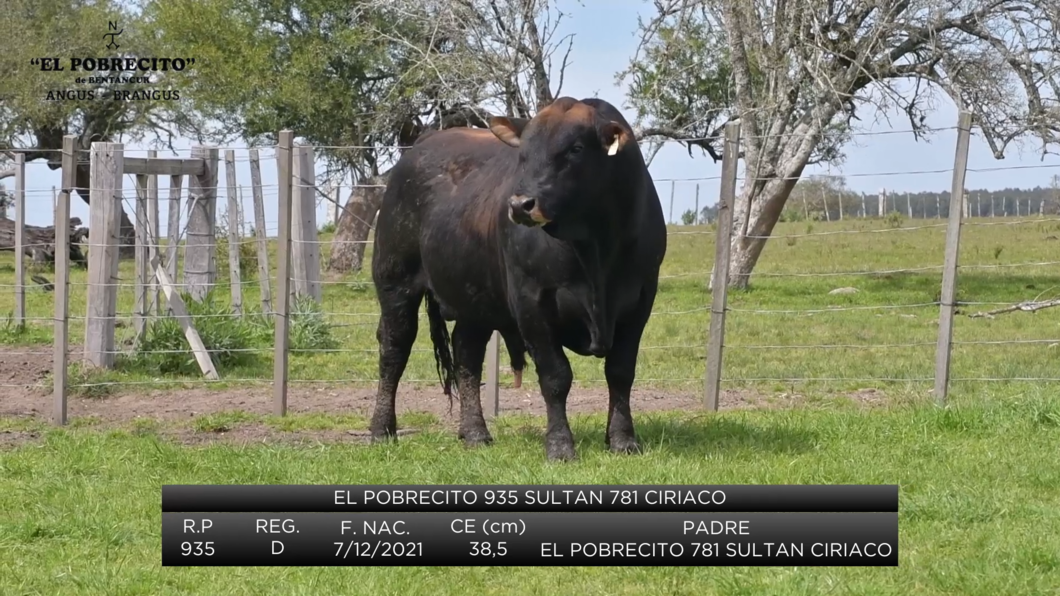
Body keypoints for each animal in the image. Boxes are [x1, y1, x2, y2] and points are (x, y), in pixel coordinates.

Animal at [368, 97, 665, 460]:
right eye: (523, 152)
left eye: (576, 148)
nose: (521, 204)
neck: (595, 248)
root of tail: (422, 144)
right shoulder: (531, 301)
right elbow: (556, 377)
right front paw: (560, 446)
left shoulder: (639, 301)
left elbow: (620, 372)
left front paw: (623, 440)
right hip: (395, 282)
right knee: (394, 350)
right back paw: (382, 430)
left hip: (475, 298)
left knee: (467, 355)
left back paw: (475, 432)